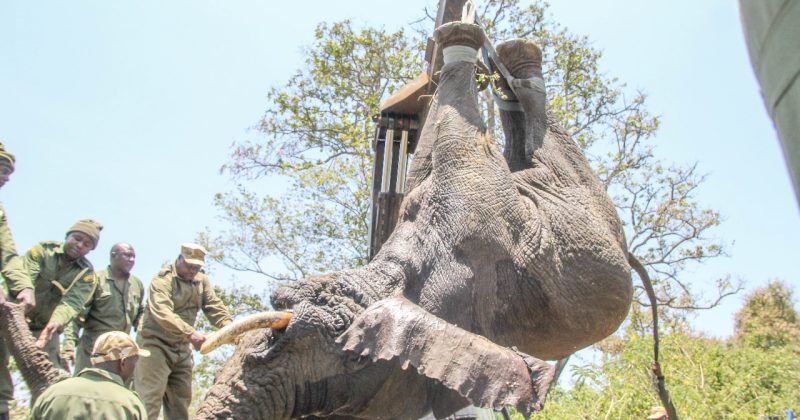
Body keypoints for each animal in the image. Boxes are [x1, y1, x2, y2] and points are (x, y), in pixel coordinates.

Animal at [0, 21, 633, 419]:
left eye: (352, 353)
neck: (393, 274)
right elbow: (436, 143)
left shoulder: (474, 208)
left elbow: (454, 138)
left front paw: (460, 44)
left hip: (579, 195)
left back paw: (509, 56)